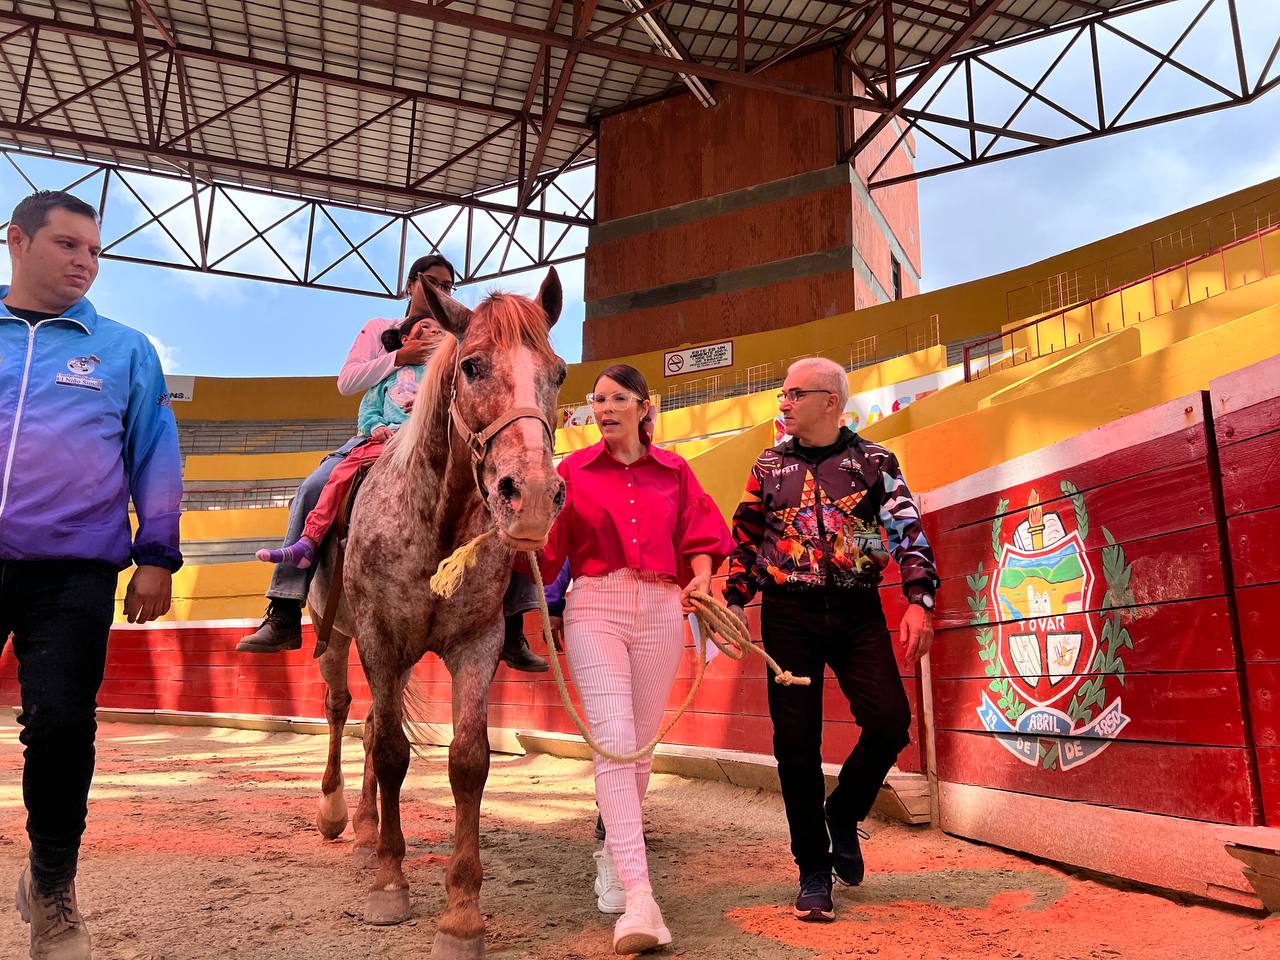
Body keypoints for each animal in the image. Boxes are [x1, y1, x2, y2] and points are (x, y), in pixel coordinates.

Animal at [304, 271, 565, 960]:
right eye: (471, 366)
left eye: (558, 373)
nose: (532, 494)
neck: (434, 523)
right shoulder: (379, 639)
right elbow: (393, 753)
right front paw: (389, 887)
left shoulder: (476, 644)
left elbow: (467, 760)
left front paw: (462, 915)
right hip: (338, 640)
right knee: (342, 711)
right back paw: (337, 815)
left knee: (371, 724)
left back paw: (367, 827)